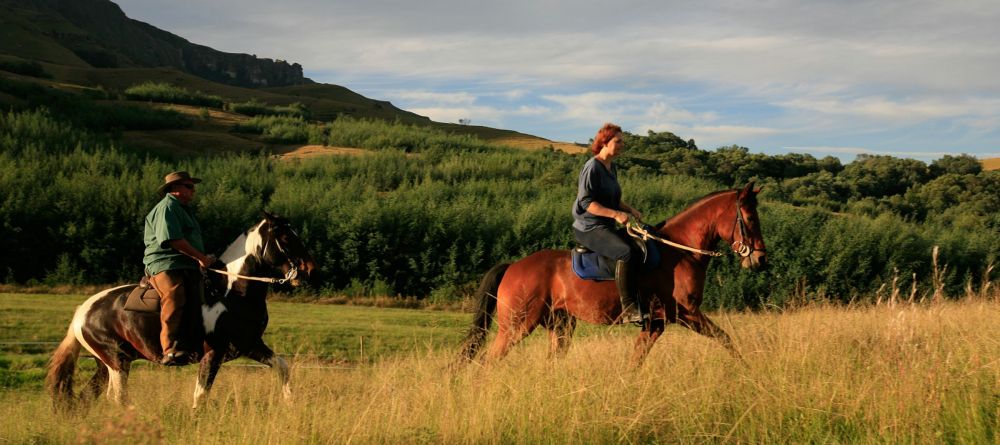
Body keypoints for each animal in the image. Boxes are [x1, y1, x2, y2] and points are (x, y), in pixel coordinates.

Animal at [44, 212, 312, 410]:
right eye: (286, 238)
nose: (309, 269)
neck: (230, 292)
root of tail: (82, 312)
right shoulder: (213, 354)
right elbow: (201, 397)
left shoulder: (250, 345)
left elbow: (282, 367)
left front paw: (290, 403)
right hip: (116, 361)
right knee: (118, 397)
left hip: (106, 363)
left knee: (90, 397)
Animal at [458, 182, 764, 366]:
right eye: (750, 219)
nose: (760, 259)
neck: (680, 251)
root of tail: (513, 266)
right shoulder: (685, 313)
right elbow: (726, 339)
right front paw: (746, 369)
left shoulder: (656, 323)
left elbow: (635, 360)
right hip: (517, 326)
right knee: (487, 361)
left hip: (560, 325)